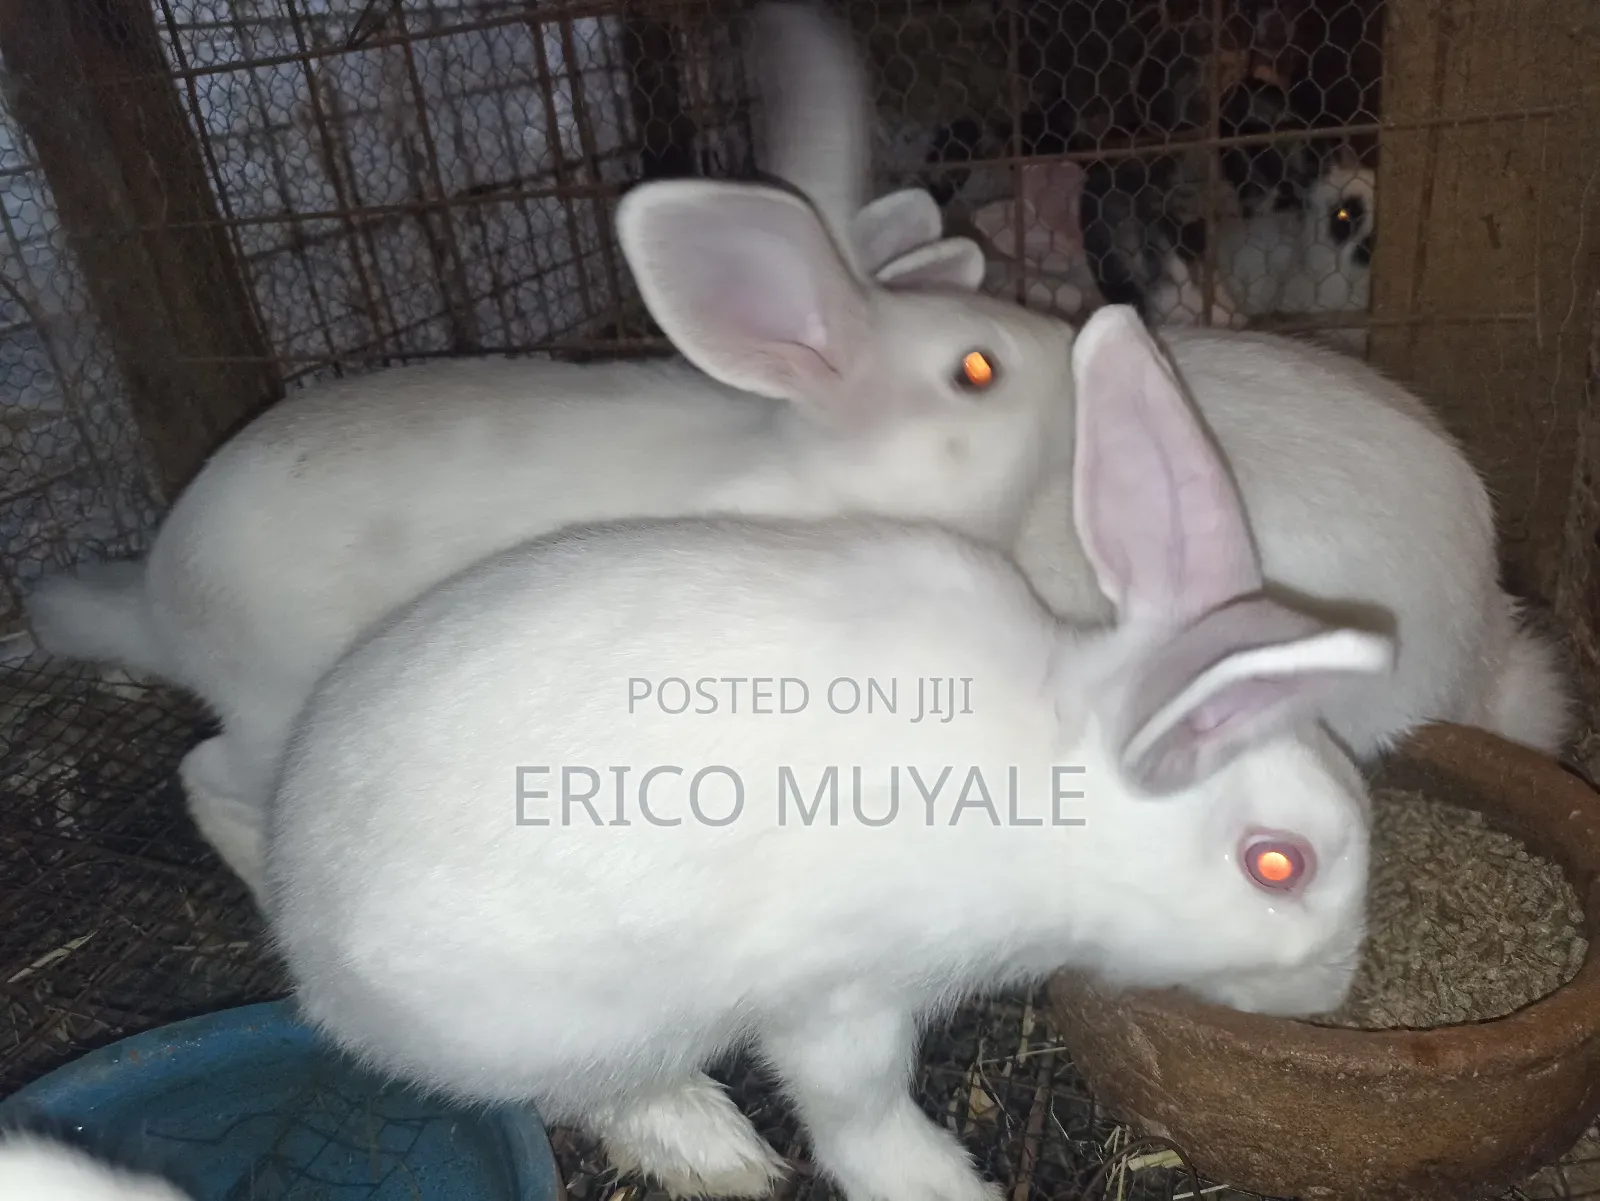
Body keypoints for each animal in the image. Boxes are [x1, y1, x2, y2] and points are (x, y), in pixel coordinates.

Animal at [264, 305, 1392, 1201]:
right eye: (1276, 863)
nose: (1332, 989)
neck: (1053, 772)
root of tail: (299, 918)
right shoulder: (843, 996)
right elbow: (857, 1106)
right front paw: (941, 1185)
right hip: (571, 1016)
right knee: (594, 1089)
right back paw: (716, 1150)